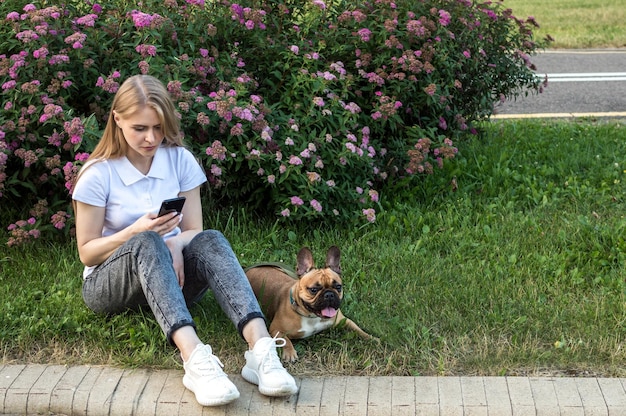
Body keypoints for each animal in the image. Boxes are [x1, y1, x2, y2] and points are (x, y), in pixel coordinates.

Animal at [245, 247, 376, 360]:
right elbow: (285, 340)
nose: (329, 294)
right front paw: (290, 353)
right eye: (313, 290)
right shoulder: (276, 329)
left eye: (338, 287)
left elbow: (358, 329)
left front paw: (372, 338)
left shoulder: (343, 320)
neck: (312, 316)